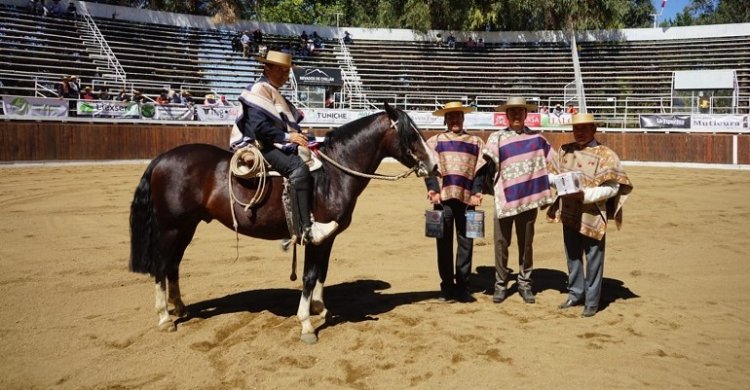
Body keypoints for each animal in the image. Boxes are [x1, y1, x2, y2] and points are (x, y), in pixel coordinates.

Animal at [127, 103, 438, 342]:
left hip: (186, 227)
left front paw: (319, 307)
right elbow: (309, 276)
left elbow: (322, 272)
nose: (434, 164)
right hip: (170, 227)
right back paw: (165, 318)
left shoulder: (328, 237)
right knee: (161, 265)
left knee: (173, 265)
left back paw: (180, 308)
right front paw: (306, 324)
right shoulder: (315, 235)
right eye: (412, 134)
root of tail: (162, 159)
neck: (333, 173)